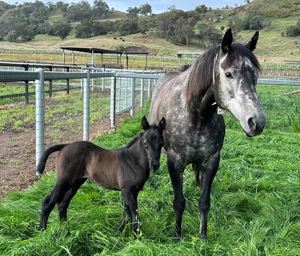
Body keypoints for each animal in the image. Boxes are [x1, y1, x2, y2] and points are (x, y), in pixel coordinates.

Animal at [37, 116, 166, 238]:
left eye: (161, 144)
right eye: (145, 143)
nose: (155, 165)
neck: (133, 160)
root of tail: (65, 146)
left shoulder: (133, 191)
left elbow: (127, 213)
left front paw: (120, 233)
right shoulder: (127, 190)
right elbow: (134, 216)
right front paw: (136, 238)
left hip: (76, 182)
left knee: (62, 204)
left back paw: (65, 228)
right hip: (65, 180)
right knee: (48, 202)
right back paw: (42, 232)